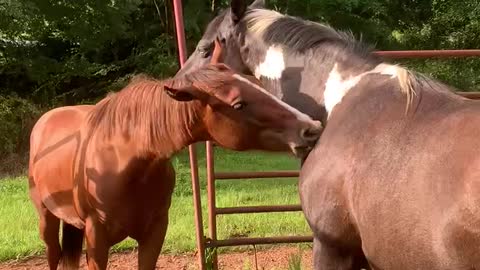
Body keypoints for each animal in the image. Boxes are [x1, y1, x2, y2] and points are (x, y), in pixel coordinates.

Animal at [29, 40, 322, 270]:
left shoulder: (155, 232)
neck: (125, 162)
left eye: (255, 83)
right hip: (46, 218)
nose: (311, 128)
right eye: (239, 104)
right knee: (53, 254)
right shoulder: (97, 240)